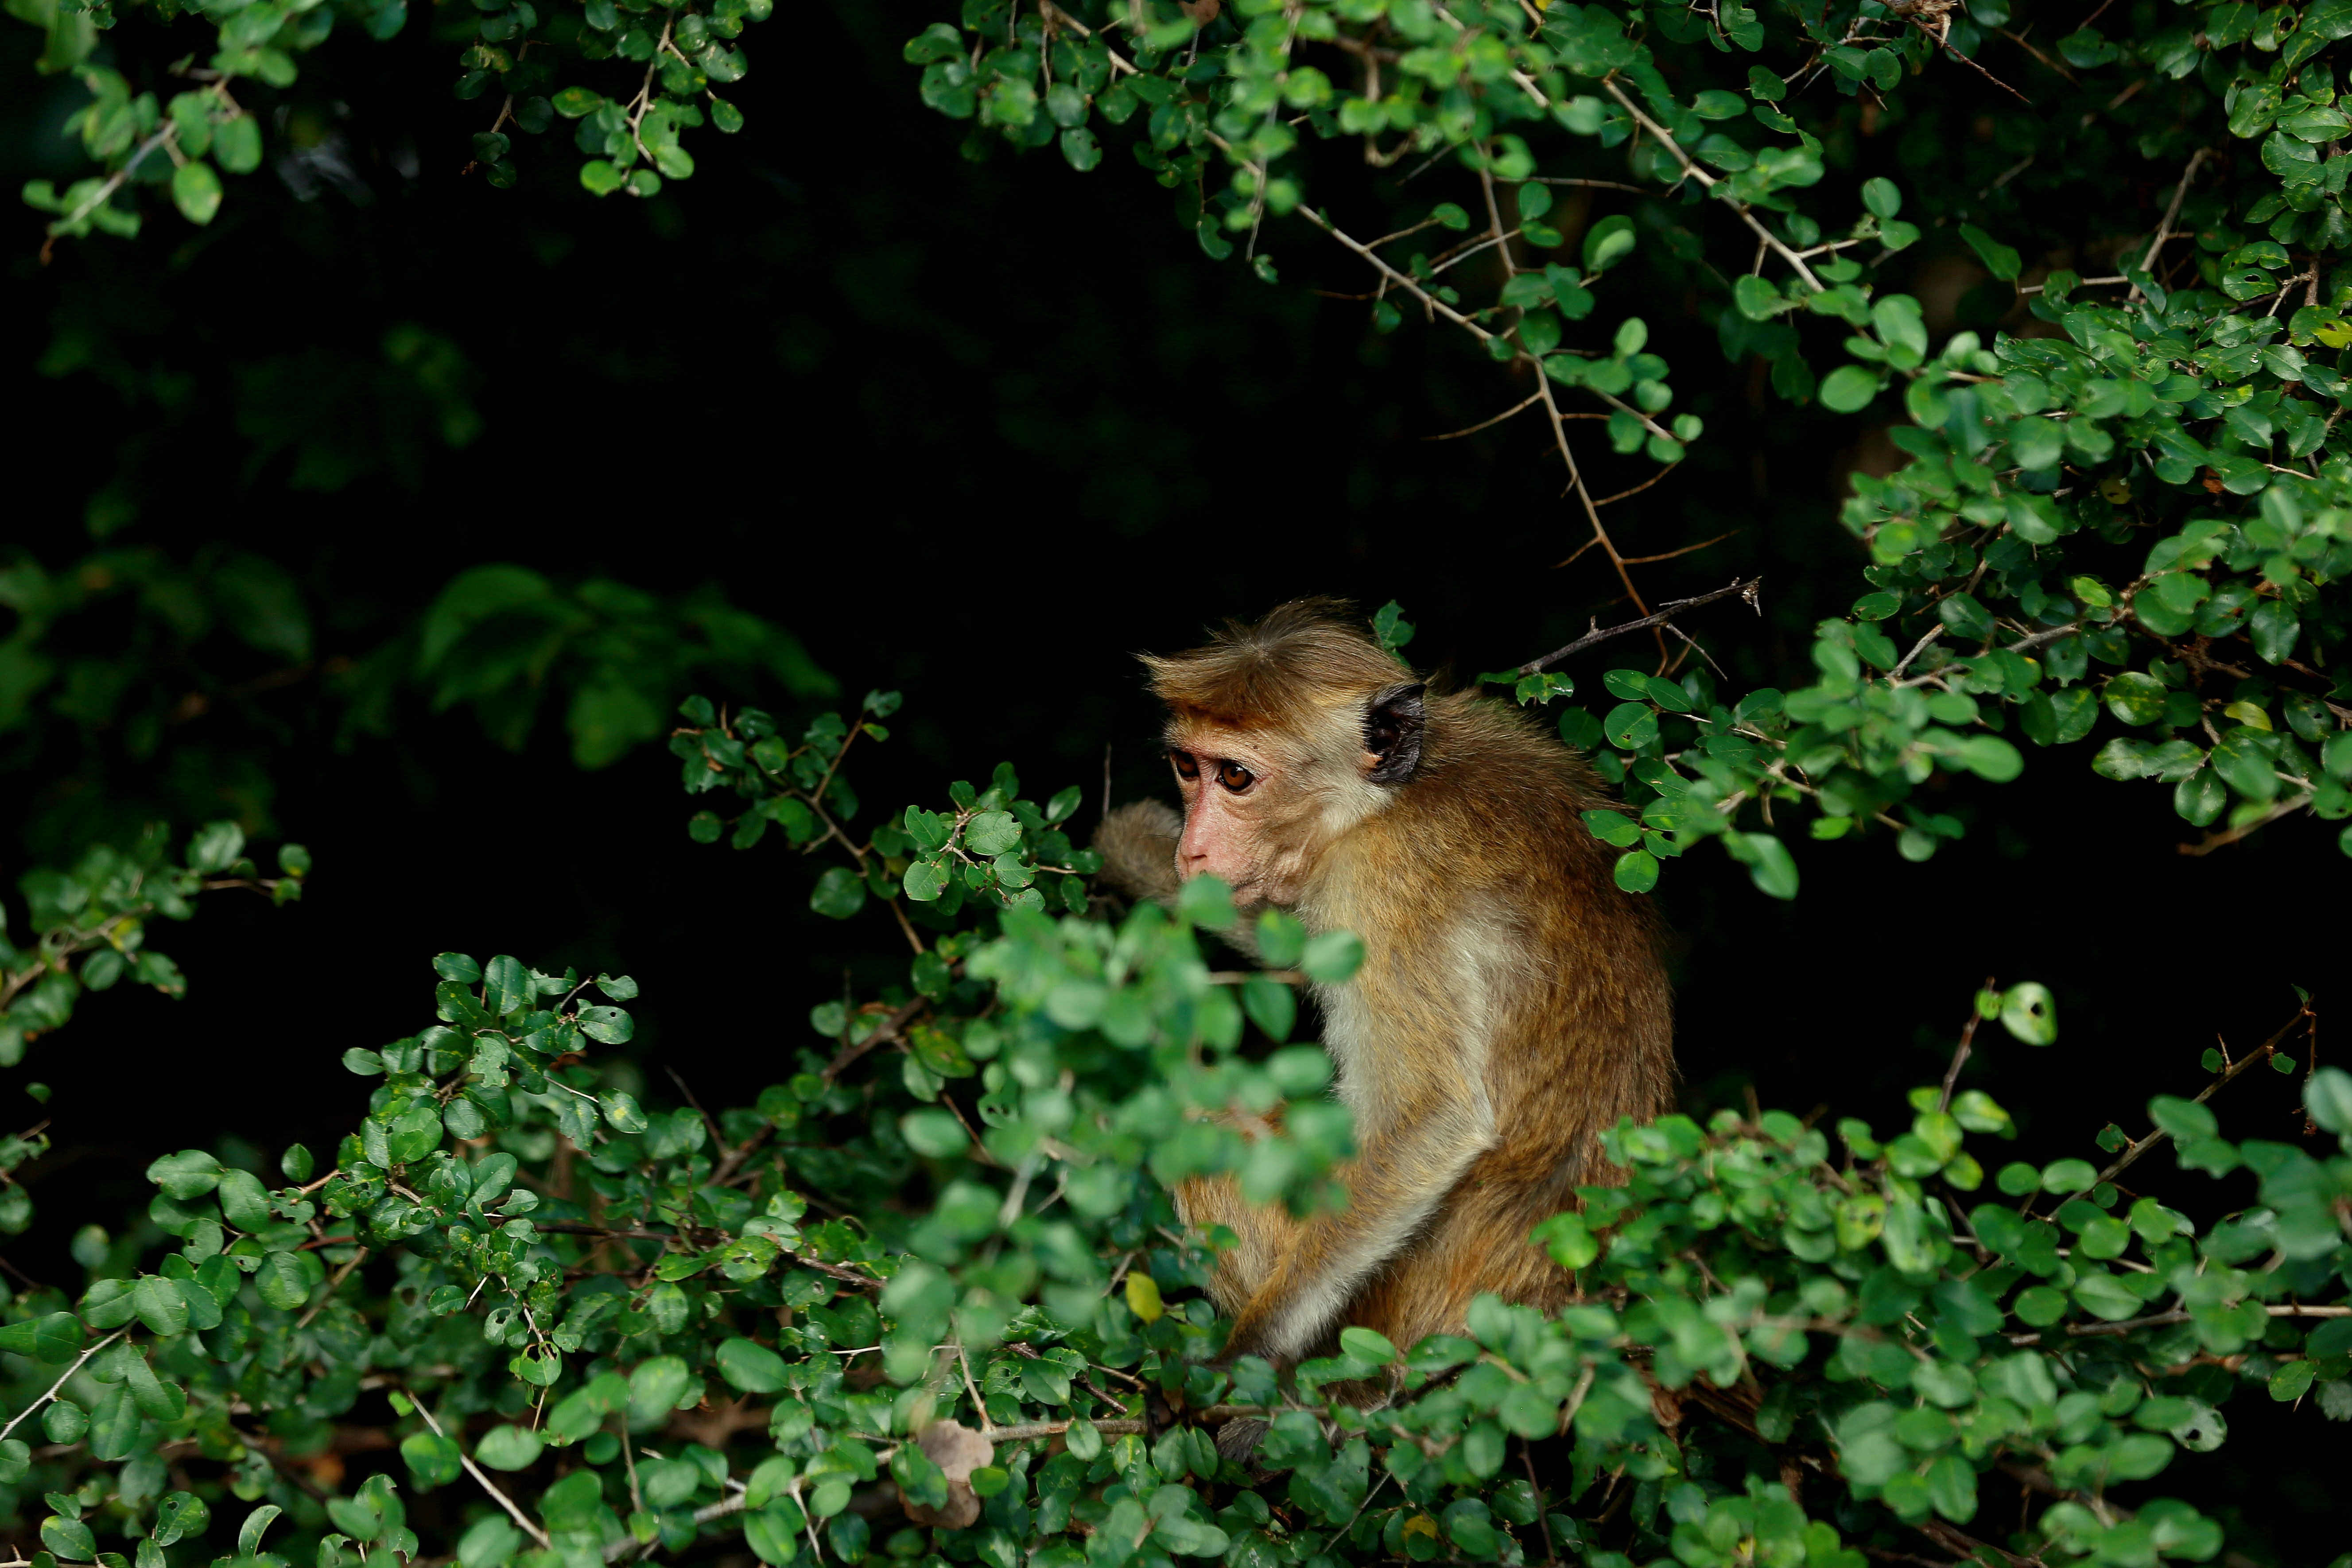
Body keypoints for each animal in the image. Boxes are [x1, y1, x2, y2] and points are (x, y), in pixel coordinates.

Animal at [1096, 599, 1674, 1388]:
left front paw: (1243, 1362)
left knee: (1207, 1121)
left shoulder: (1379, 881)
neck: (1389, 800)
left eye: (1237, 778)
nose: (1192, 850)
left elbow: (1432, 1121)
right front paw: (1133, 848)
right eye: (1188, 768)